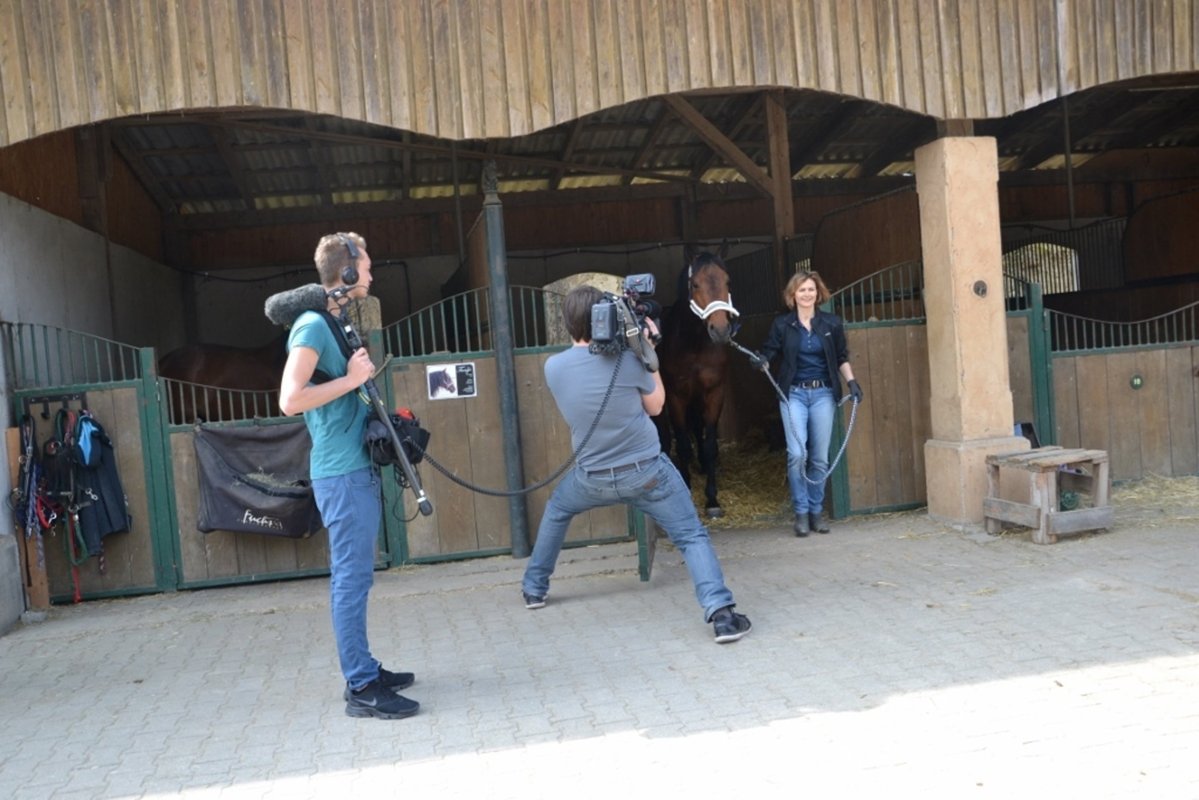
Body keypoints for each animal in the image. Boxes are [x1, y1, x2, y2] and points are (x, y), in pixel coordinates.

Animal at [657, 244, 738, 520]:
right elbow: (682, 443)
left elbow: (710, 442)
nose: (720, 330)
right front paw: (687, 488)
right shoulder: (676, 396)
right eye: (695, 284)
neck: (693, 343)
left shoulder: (714, 392)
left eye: (727, 281)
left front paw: (712, 499)